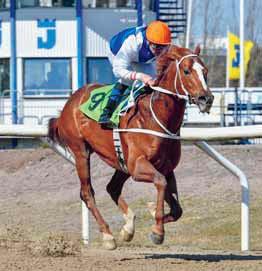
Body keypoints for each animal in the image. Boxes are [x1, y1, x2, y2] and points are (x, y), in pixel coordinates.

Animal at [48, 45, 214, 251]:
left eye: (205, 71)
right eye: (186, 71)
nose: (206, 98)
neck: (156, 117)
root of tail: (70, 102)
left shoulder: (166, 168)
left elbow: (177, 209)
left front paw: (152, 214)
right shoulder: (138, 166)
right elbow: (160, 183)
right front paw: (157, 230)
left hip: (121, 162)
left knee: (112, 187)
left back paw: (128, 228)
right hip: (81, 153)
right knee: (87, 192)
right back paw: (108, 235)